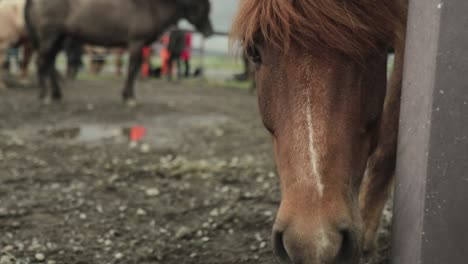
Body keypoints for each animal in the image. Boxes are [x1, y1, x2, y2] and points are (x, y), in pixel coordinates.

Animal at [26, 0, 213, 105]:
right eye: (202, 7)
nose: (210, 31)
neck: (150, 6)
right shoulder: (136, 43)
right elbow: (132, 69)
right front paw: (129, 98)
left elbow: (134, 70)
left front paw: (127, 95)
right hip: (50, 36)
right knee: (42, 62)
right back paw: (44, 96)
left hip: (59, 37)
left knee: (49, 62)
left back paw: (56, 94)